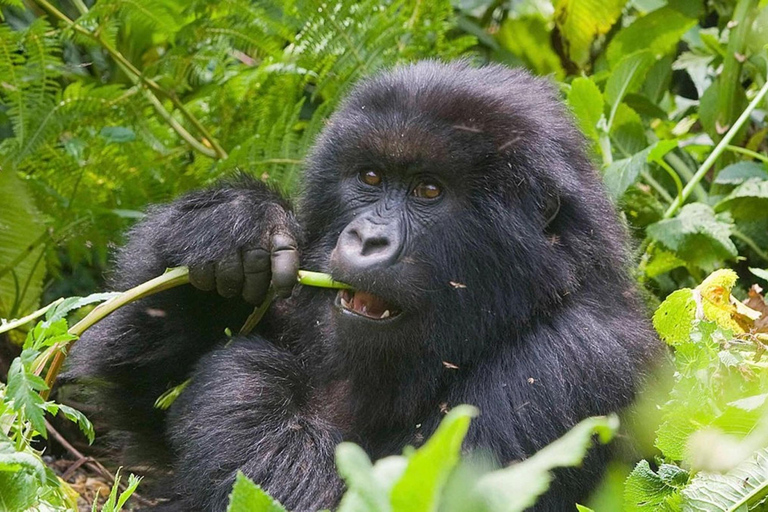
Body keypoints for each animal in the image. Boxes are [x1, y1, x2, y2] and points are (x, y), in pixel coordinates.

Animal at [69, 62, 660, 510]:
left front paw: (247, 379)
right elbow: (139, 401)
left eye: (428, 190)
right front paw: (231, 224)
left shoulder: (572, 365)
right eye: (371, 178)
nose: (367, 238)